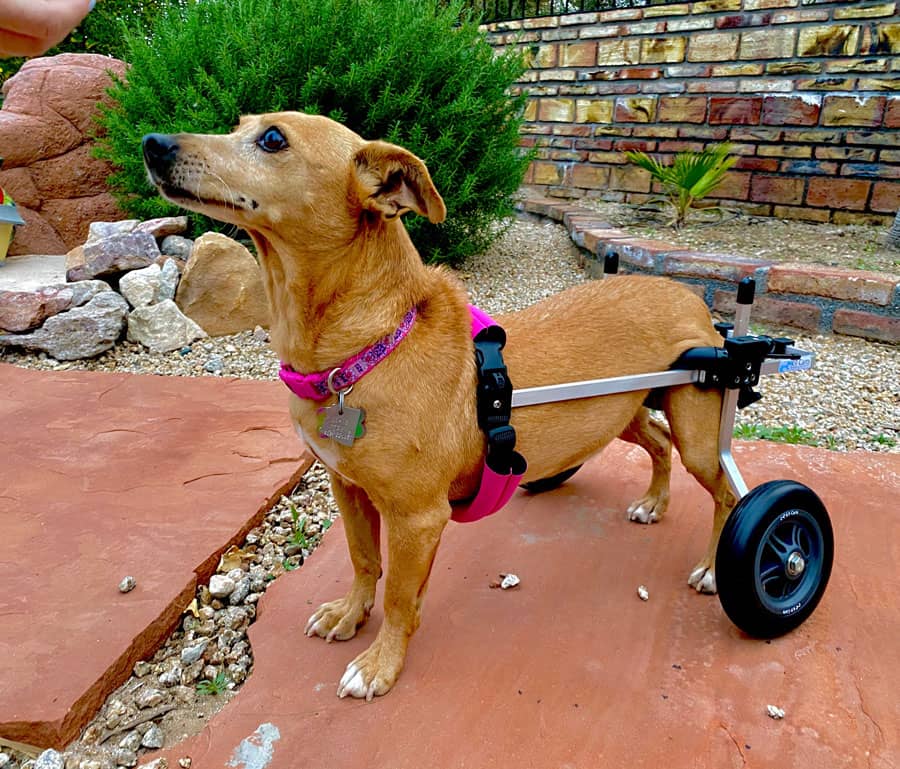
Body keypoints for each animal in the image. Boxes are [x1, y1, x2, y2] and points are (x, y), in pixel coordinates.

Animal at [144, 111, 736, 700]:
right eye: (238, 123)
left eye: (272, 139)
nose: (151, 143)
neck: (368, 350)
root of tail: (687, 295)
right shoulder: (348, 487)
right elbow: (364, 561)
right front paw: (350, 614)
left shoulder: (418, 517)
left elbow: (400, 597)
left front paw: (380, 664)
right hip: (619, 411)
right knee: (658, 442)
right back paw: (653, 503)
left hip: (699, 429)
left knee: (725, 492)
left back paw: (713, 568)